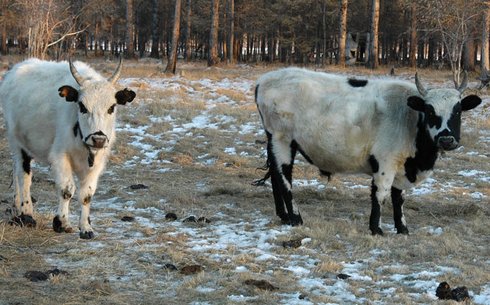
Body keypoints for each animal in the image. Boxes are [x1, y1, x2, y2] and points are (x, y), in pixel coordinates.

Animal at [0, 57, 136, 238]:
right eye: (82, 106)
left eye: (111, 107)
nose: (98, 139)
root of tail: (16, 69)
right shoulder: (60, 156)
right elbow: (67, 189)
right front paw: (62, 222)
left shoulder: (97, 163)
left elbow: (86, 195)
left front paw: (86, 227)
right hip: (17, 143)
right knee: (24, 176)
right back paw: (26, 212)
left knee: (16, 172)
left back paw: (17, 205)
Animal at [256, 68, 482, 235]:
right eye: (429, 110)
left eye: (458, 110)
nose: (446, 139)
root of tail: (265, 80)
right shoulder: (385, 163)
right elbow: (380, 194)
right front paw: (376, 229)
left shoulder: (400, 165)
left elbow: (398, 197)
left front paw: (402, 229)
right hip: (282, 140)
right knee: (284, 178)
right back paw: (295, 218)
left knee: (275, 176)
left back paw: (283, 216)